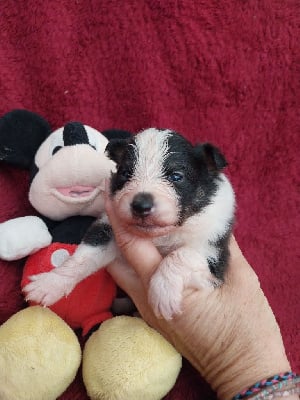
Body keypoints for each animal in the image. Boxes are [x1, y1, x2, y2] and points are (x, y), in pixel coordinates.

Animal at [25, 129, 236, 322]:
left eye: (176, 176)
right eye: (126, 173)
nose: (140, 205)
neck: (161, 235)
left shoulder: (215, 257)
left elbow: (182, 254)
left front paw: (163, 291)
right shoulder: (107, 228)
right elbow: (82, 258)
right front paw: (50, 283)